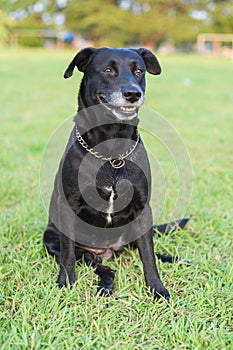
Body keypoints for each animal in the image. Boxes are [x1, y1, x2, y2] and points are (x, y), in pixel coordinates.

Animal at [43, 47, 187, 300]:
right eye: (108, 70)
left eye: (139, 71)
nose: (133, 93)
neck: (111, 151)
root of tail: (107, 251)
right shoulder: (68, 206)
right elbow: (67, 255)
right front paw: (65, 283)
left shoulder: (142, 209)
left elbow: (148, 255)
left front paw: (157, 288)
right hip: (53, 240)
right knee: (99, 264)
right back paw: (106, 283)